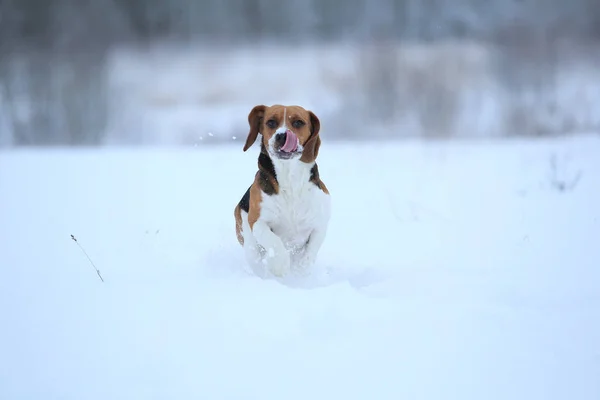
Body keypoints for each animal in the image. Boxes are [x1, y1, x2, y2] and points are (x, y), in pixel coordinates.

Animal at [234, 104, 330, 276]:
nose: (282, 136)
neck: (290, 178)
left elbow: (310, 252)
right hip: (248, 239)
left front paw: (300, 271)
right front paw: (279, 265)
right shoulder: (257, 221)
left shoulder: (320, 224)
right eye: (271, 122)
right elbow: (273, 241)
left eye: (298, 122)